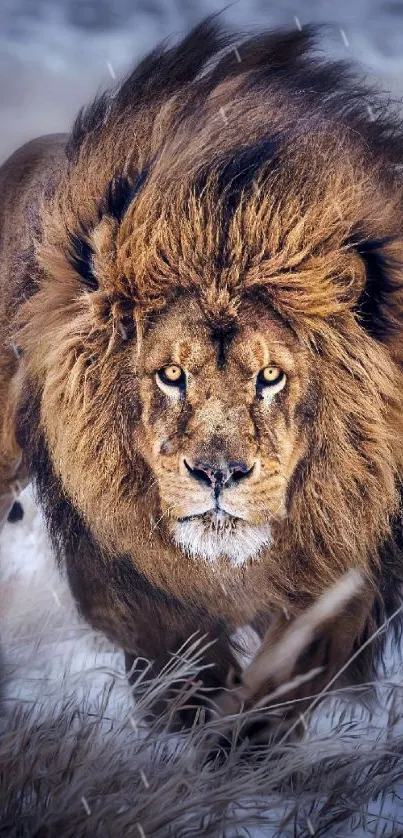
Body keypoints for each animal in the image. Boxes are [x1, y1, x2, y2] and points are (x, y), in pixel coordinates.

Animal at [0, 18, 403, 728]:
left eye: (270, 376)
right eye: (169, 374)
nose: (218, 474)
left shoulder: (346, 568)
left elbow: (282, 683)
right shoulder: (116, 569)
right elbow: (180, 666)